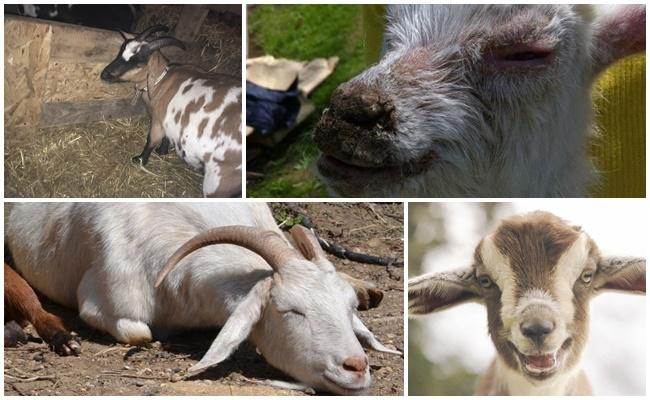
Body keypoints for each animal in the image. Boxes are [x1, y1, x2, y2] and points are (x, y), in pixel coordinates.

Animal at [100, 25, 242, 198]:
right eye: (121, 50)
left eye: (138, 62)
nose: (104, 74)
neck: (162, 82)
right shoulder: (169, 121)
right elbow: (166, 138)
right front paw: (162, 151)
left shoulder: (158, 121)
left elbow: (151, 140)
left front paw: (140, 160)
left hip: (218, 182)